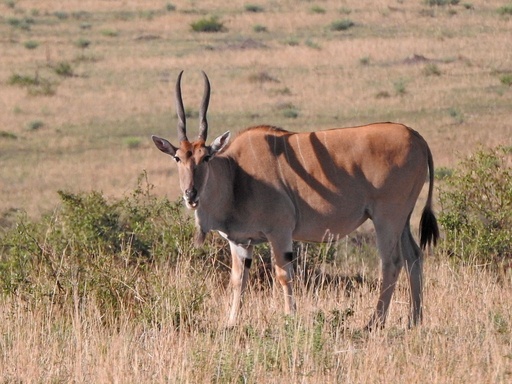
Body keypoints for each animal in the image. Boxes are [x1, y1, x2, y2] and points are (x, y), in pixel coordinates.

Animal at [150, 70, 438, 328]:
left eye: (206, 157)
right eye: (178, 158)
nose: (191, 194)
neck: (235, 173)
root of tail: (416, 137)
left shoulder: (280, 233)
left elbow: (283, 275)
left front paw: (291, 318)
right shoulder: (240, 242)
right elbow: (238, 280)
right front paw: (230, 323)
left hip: (387, 218)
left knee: (391, 262)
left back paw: (373, 323)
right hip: (402, 219)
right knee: (413, 256)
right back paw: (414, 320)